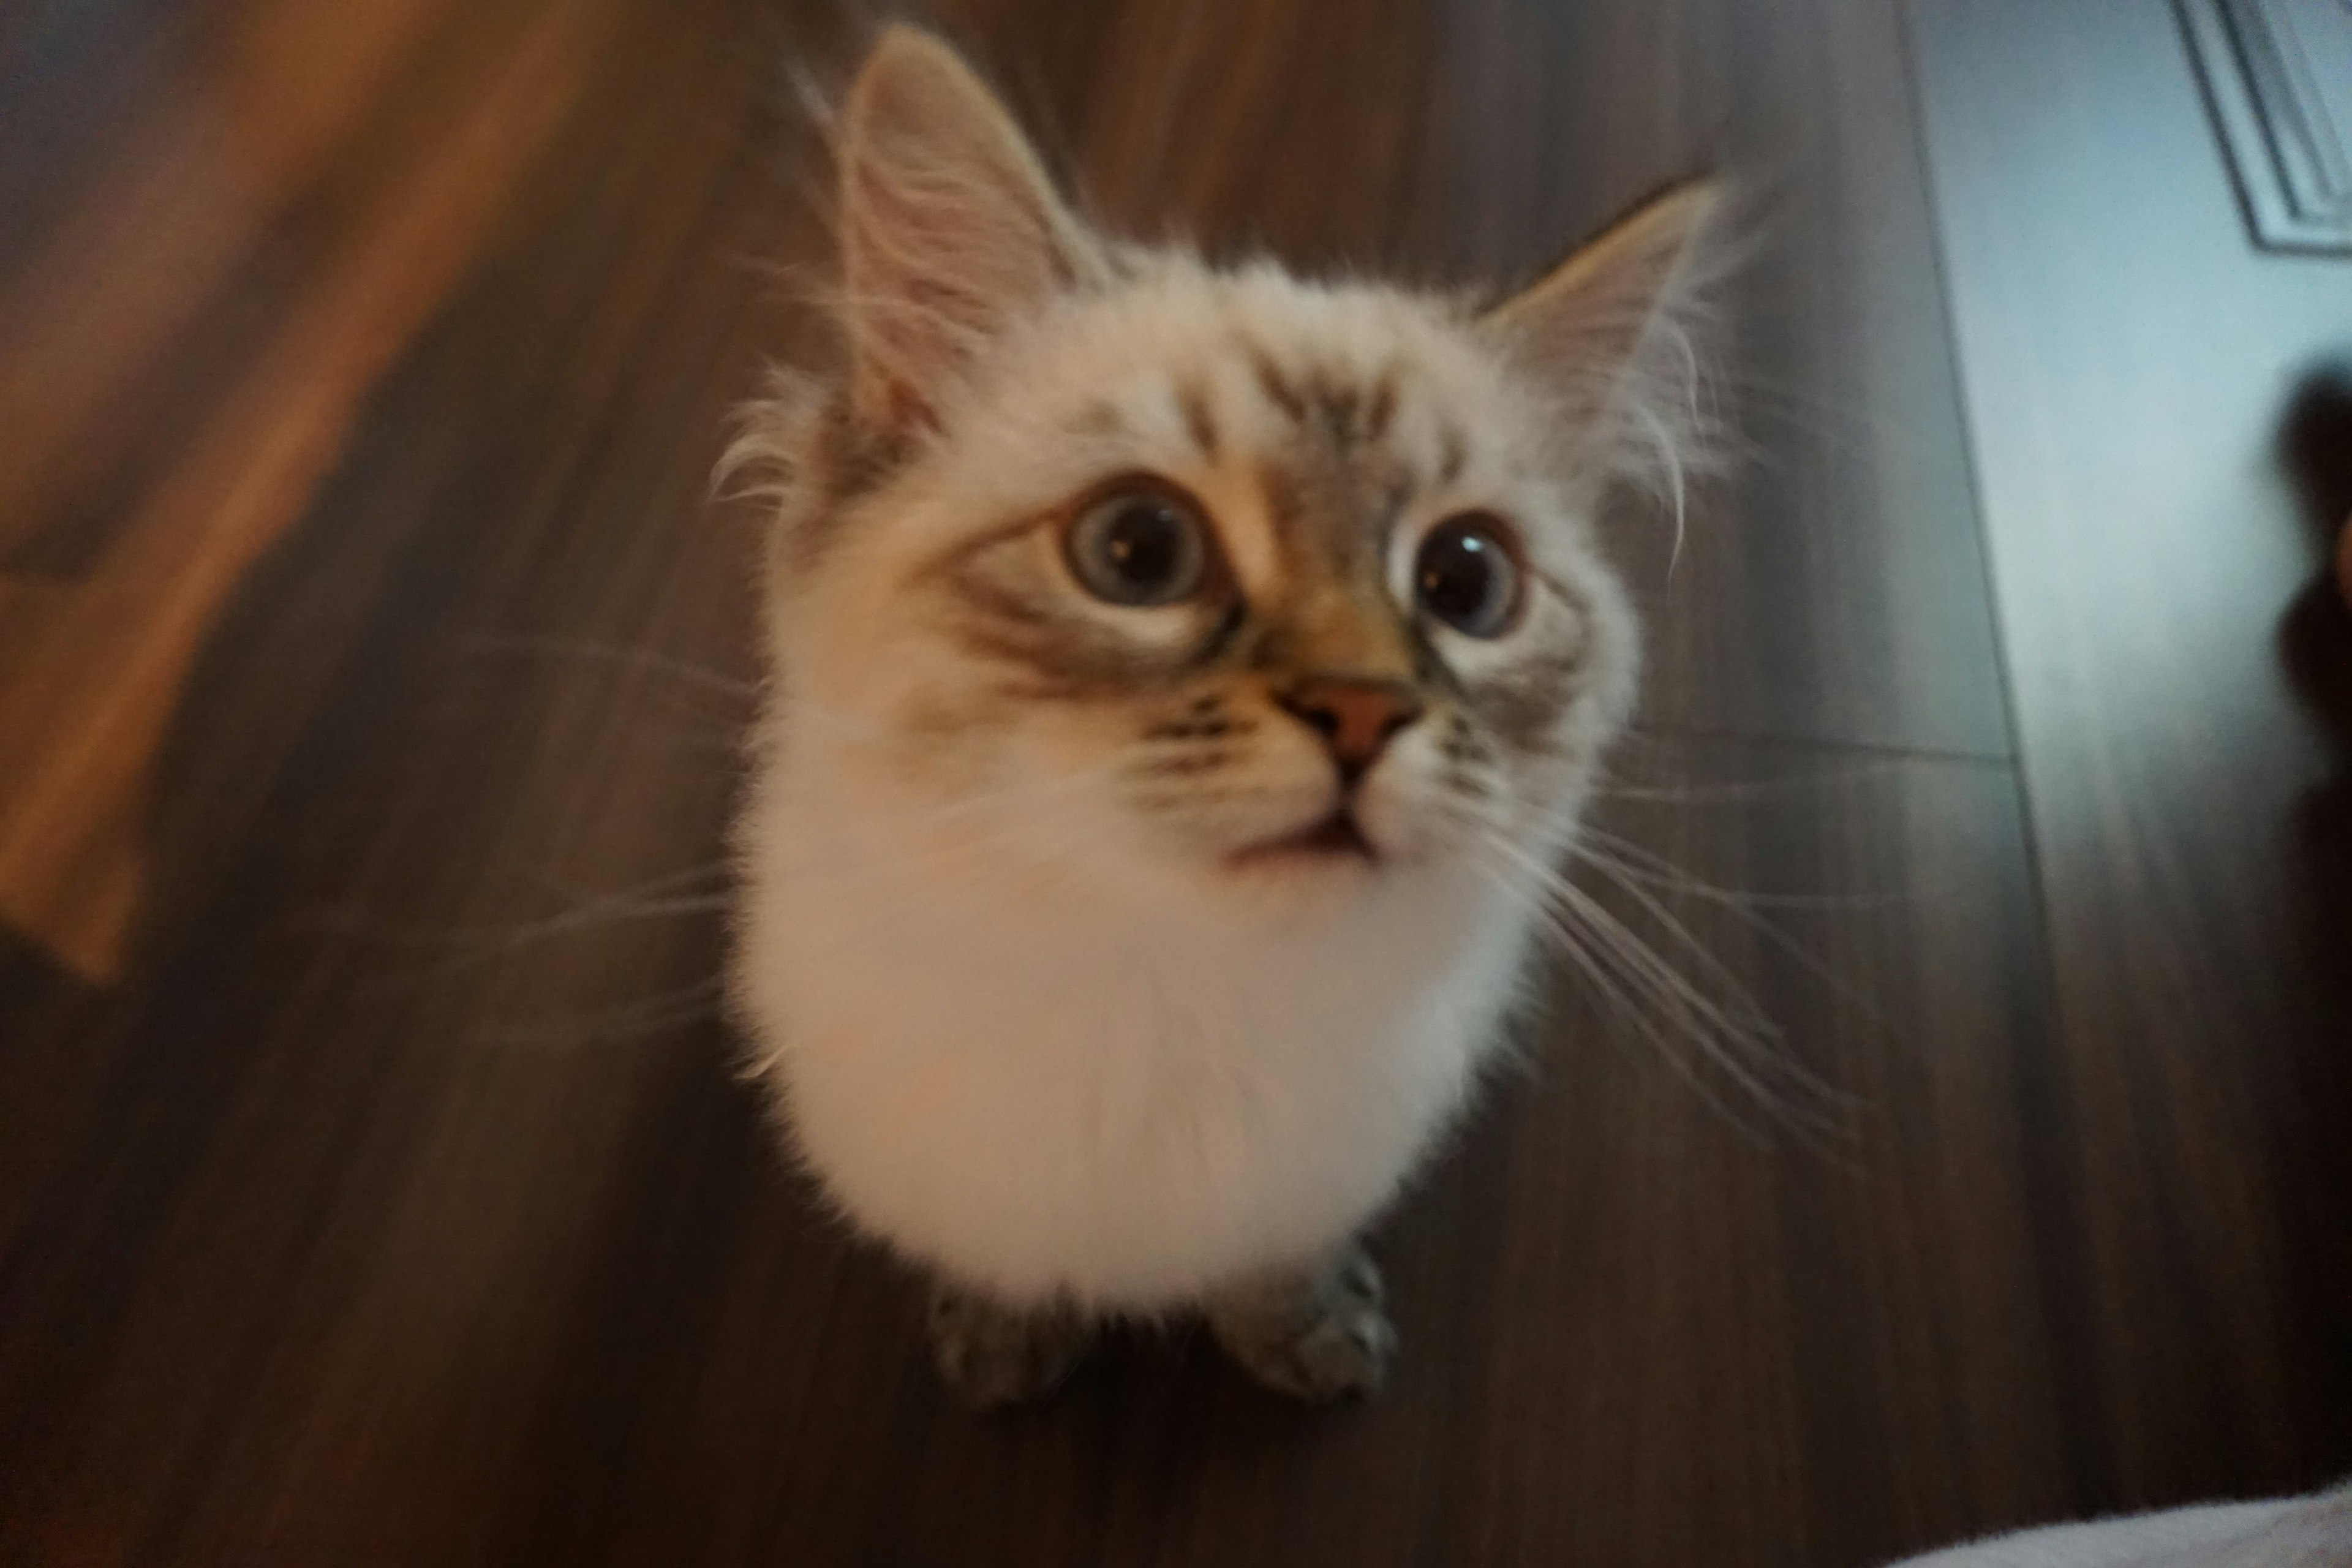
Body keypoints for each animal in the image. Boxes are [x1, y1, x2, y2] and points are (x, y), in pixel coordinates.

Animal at [724, 24, 1721, 1401]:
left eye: (1467, 583)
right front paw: (1004, 1347)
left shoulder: (1313, 1183)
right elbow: (1001, 1264)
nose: (1360, 709)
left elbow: (1275, 1265)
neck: (1169, 992)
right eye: (1139, 552)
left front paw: (1309, 1339)